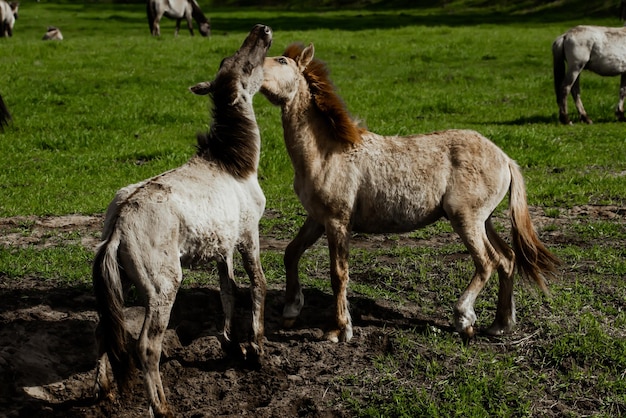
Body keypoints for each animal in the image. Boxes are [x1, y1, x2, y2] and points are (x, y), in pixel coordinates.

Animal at [92, 24, 270, 416]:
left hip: (121, 284)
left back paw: (107, 392)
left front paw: (231, 344)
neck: (233, 163)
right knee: (147, 346)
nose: (261, 30)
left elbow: (228, 291)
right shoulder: (248, 235)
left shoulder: (223, 247)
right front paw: (257, 350)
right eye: (247, 67)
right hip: (163, 286)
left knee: (105, 329)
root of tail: (117, 229)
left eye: (231, 59)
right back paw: (162, 407)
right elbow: (258, 285)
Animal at [260, 43, 560, 342]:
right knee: (507, 259)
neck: (327, 153)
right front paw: (291, 310)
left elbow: (338, 274)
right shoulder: (316, 219)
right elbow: (291, 253)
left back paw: (464, 319)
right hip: (484, 220)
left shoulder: (337, 221)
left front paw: (339, 330)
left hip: (465, 218)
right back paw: (501, 324)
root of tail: (505, 159)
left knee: (488, 262)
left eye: (282, 61)